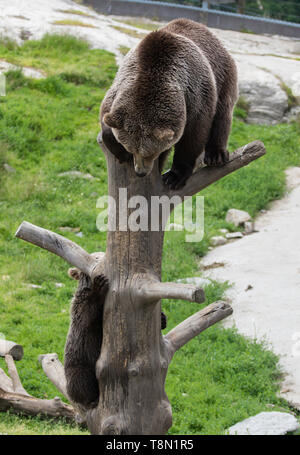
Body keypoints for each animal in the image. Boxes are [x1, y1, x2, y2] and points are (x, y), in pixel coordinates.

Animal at [99, 17, 238, 189]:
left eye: (150, 153)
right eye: (131, 149)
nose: (141, 172)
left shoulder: (196, 95)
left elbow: (193, 136)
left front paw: (174, 176)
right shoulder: (119, 87)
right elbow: (106, 114)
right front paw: (119, 151)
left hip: (223, 74)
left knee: (222, 114)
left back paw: (216, 155)